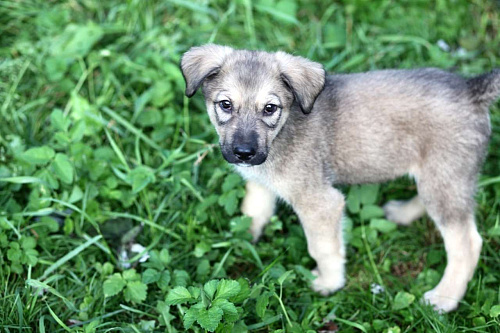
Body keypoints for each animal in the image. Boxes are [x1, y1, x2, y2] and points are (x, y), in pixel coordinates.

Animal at [181, 44, 500, 312]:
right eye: (225, 104)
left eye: (270, 108)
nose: (244, 153)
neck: (283, 131)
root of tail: (472, 89)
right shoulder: (261, 185)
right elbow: (252, 213)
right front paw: (240, 243)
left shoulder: (321, 203)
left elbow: (323, 249)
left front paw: (329, 282)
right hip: (438, 177)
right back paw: (402, 213)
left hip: (443, 180)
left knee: (467, 244)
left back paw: (444, 298)